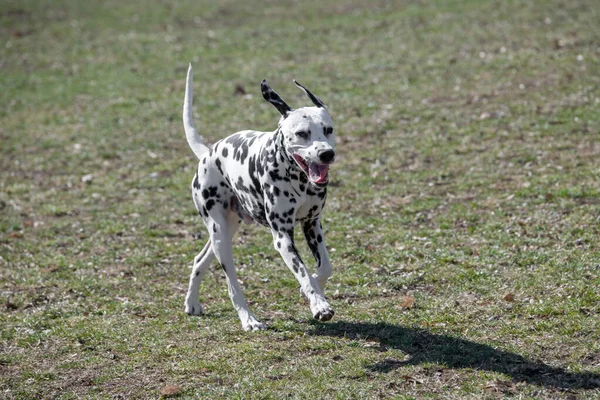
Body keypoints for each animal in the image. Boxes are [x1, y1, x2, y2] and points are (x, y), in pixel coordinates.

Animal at [180, 63, 340, 332]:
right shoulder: (283, 237)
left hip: (225, 231)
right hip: (221, 238)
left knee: (199, 260)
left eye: (327, 130)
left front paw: (312, 292)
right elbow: (304, 273)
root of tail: (208, 153)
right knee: (233, 286)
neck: (298, 179)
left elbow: (324, 268)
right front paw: (319, 305)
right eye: (302, 133)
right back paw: (249, 319)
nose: (327, 154)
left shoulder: (312, 225)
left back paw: (192, 303)